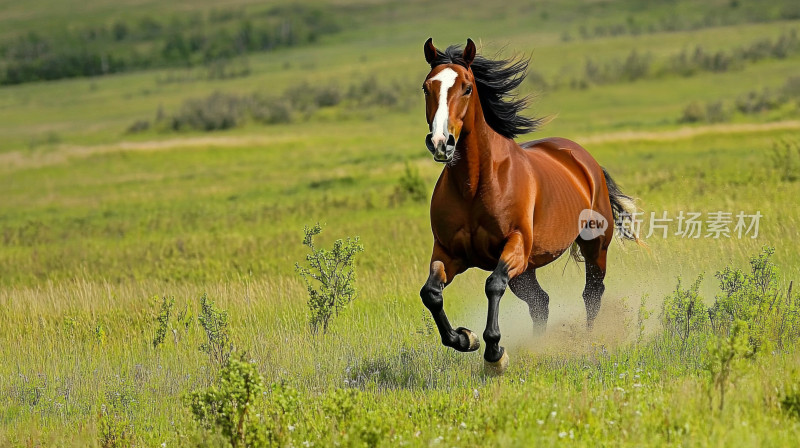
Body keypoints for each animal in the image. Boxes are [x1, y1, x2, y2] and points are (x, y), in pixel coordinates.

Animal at [418, 37, 636, 374]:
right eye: (427, 87)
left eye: (467, 87)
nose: (442, 143)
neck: (473, 186)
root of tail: (584, 160)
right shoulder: (448, 252)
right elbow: (431, 293)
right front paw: (466, 338)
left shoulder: (515, 245)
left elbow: (493, 285)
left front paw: (494, 353)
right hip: (526, 271)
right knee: (541, 303)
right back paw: (538, 347)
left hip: (593, 246)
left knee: (591, 294)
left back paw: (588, 342)